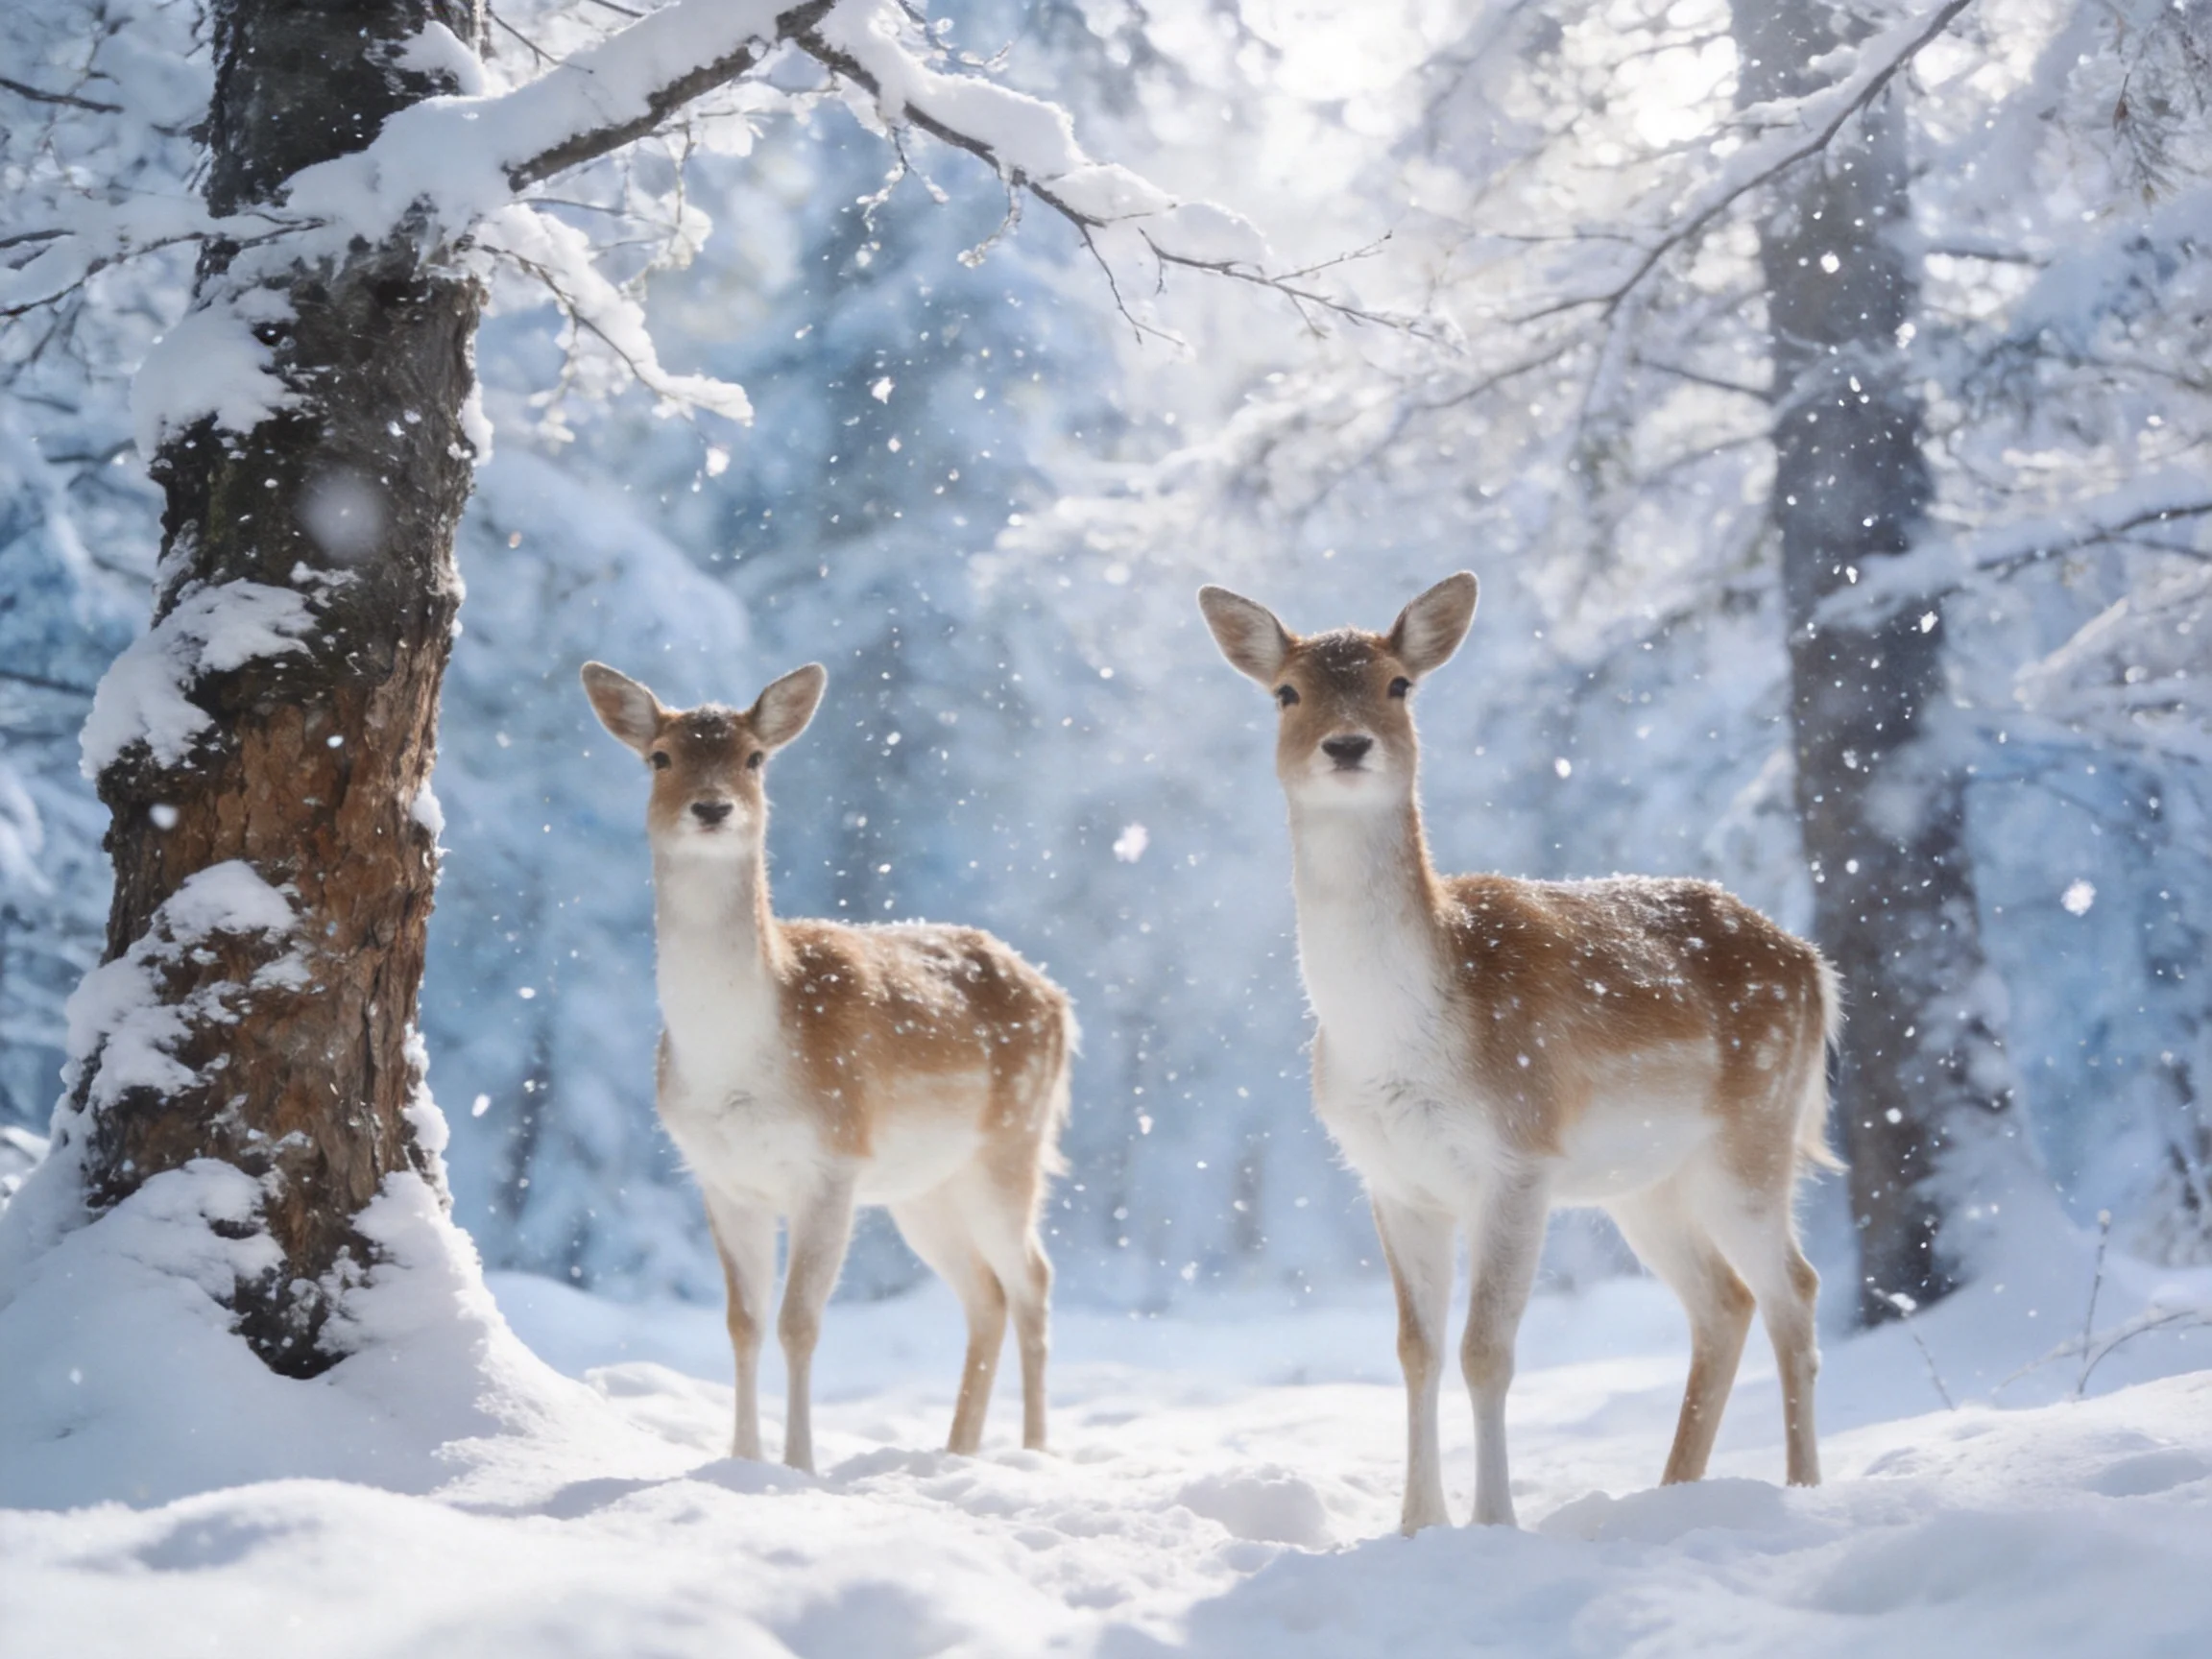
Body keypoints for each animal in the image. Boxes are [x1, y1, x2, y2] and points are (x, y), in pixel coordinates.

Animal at [581, 659, 1074, 1473]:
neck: (739, 1063)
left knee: (1032, 1279)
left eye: (755, 758)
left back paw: (1033, 1452)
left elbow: (799, 1321)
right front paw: (741, 1461)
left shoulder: (832, 1161)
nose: (711, 807)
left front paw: (799, 1466)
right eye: (660, 757)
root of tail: (1058, 997)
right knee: (985, 1295)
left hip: (1012, 1142)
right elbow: (742, 1320)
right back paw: (955, 1453)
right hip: (923, 1187)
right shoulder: (721, 1176)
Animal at [1197, 573, 1840, 1533]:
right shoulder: (1394, 1180)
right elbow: (1415, 1350)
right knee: (1722, 1303)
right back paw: (1672, 1493)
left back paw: (1800, 1489)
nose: (1346, 746)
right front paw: (1414, 1525)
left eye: (1399, 685)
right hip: (1647, 1185)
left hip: (1752, 1139)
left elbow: (1485, 1350)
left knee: (1792, 1289)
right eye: (1286, 693)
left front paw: (1491, 1521)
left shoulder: (1518, 1156)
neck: (1401, 1039)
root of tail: (1816, 967)